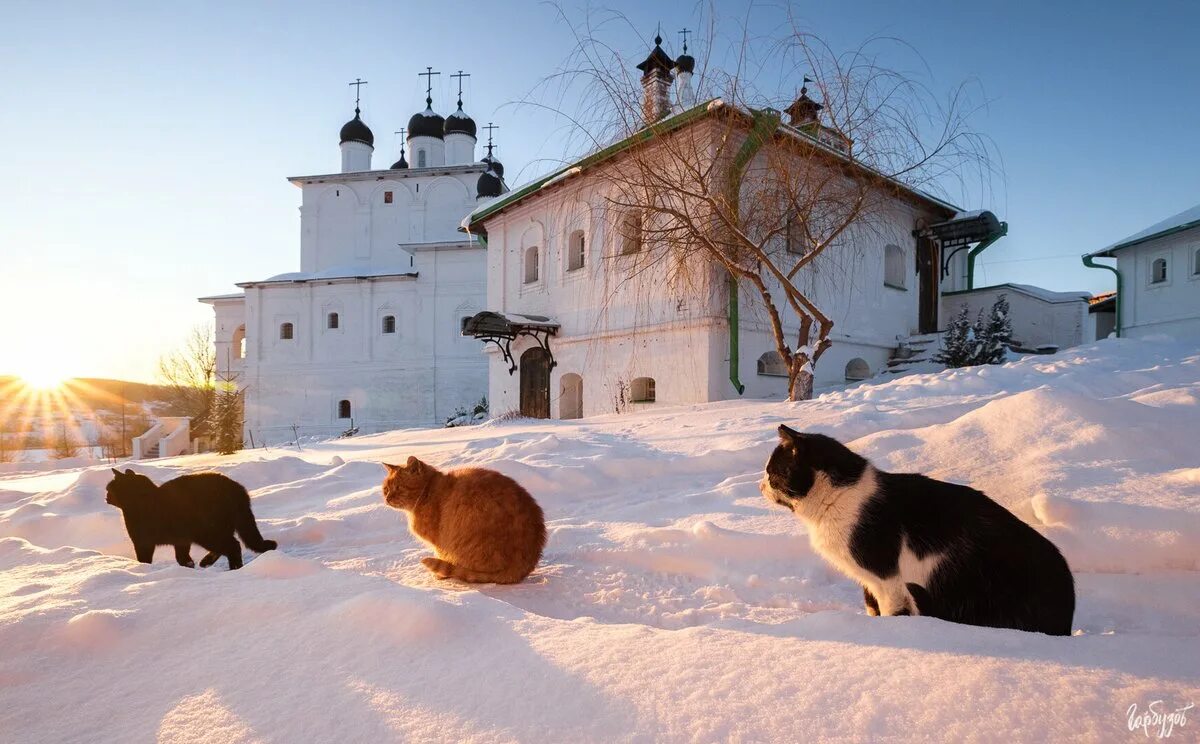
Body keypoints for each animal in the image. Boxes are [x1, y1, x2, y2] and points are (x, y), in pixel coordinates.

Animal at [104, 470, 277, 568]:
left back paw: (234, 568)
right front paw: (189, 566)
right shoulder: (181, 540)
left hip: (207, 532)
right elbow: (182, 558)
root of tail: (239, 489)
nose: (105, 496)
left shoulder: (143, 542)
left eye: (109, 488)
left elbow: (144, 560)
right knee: (228, 545)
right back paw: (206, 562)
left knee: (233, 546)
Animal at [381, 456, 547, 583]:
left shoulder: (439, 542)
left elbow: (441, 555)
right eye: (386, 489)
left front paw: (440, 575)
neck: (428, 492)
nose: (387, 498)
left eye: (398, 488)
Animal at [763, 427, 1075, 638]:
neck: (841, 496)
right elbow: (872, 607)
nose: (760, 485)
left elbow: (889, 609)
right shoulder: (868, 581)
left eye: (772, 472)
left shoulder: (885, 577)